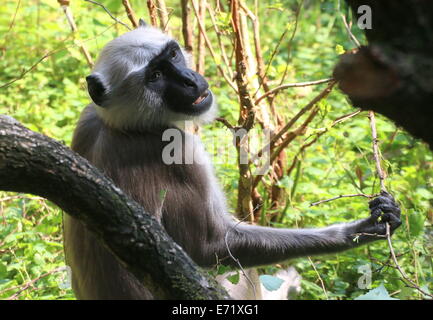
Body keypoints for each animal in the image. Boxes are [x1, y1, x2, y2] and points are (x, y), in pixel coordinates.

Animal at [62, 22, 400, 300]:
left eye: (173, 55)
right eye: (155, 76)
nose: (189, 80)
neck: (125, 127)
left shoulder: (87, 118)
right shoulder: (175, 150)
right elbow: (208, 247)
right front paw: (362, 229)